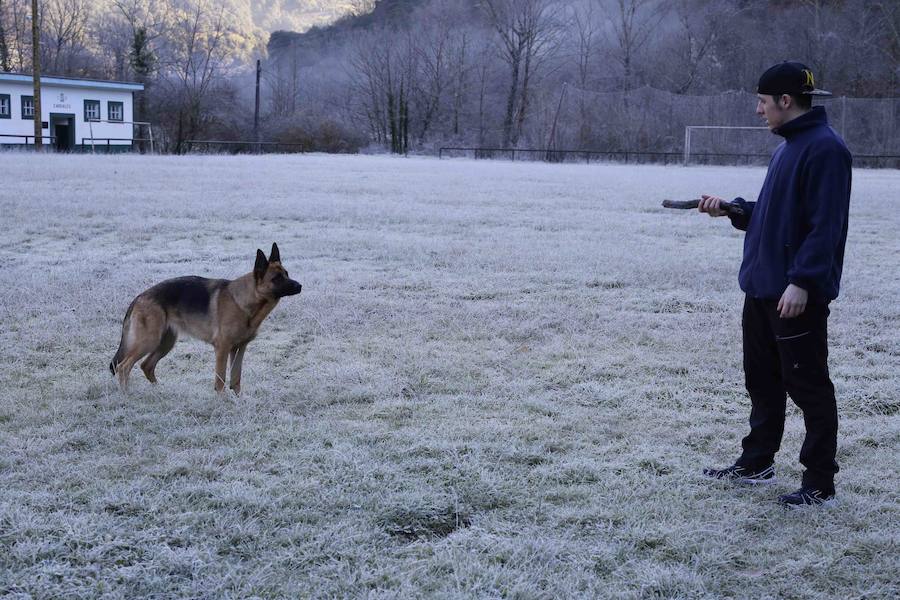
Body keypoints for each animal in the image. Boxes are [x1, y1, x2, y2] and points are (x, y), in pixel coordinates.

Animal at [110, 244, 302, 394]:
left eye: (287, 273)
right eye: (276, 278)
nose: (300, 286)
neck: (243, 300)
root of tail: (139, 297)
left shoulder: (239, 348)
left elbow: (236, 379)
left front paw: (238, 402)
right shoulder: (222, 349)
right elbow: (221, 380)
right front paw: (223, 402)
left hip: (165, 343)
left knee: (146, 366)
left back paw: (159, 391)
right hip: (149, 341)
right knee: (124, 367)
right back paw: (126, 395)